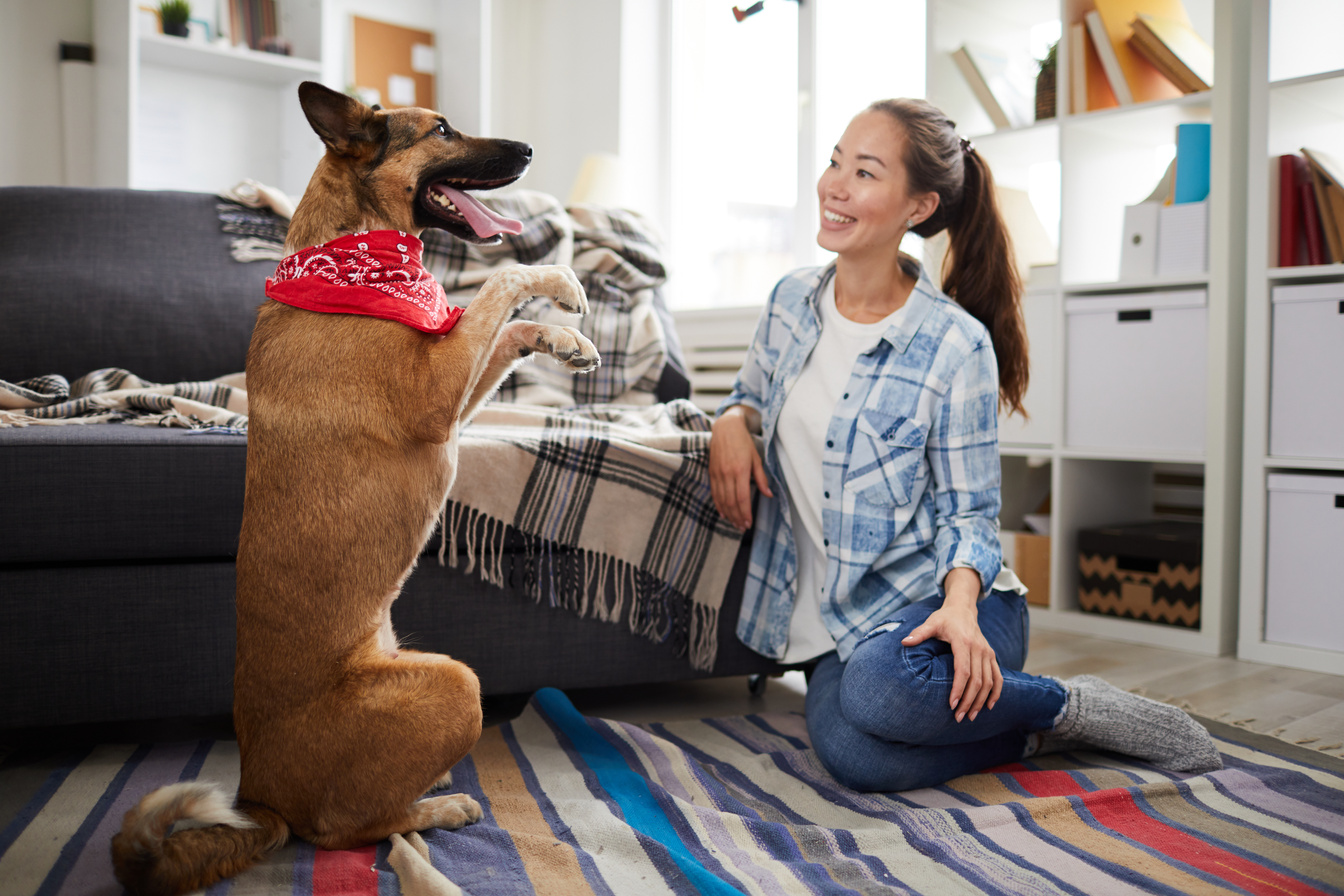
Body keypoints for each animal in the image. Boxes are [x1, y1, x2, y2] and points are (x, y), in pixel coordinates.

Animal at [107, 80, 602, 891]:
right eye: (442, 129)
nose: (530, 150)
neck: (353, 253)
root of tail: (259, 797)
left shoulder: (453, 396)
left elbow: (499, 329)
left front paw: (563, 338)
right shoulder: (435, 398)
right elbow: (499, 285)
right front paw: (559, 281)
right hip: (454, 685)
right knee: (350, 829)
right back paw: (439, 807)